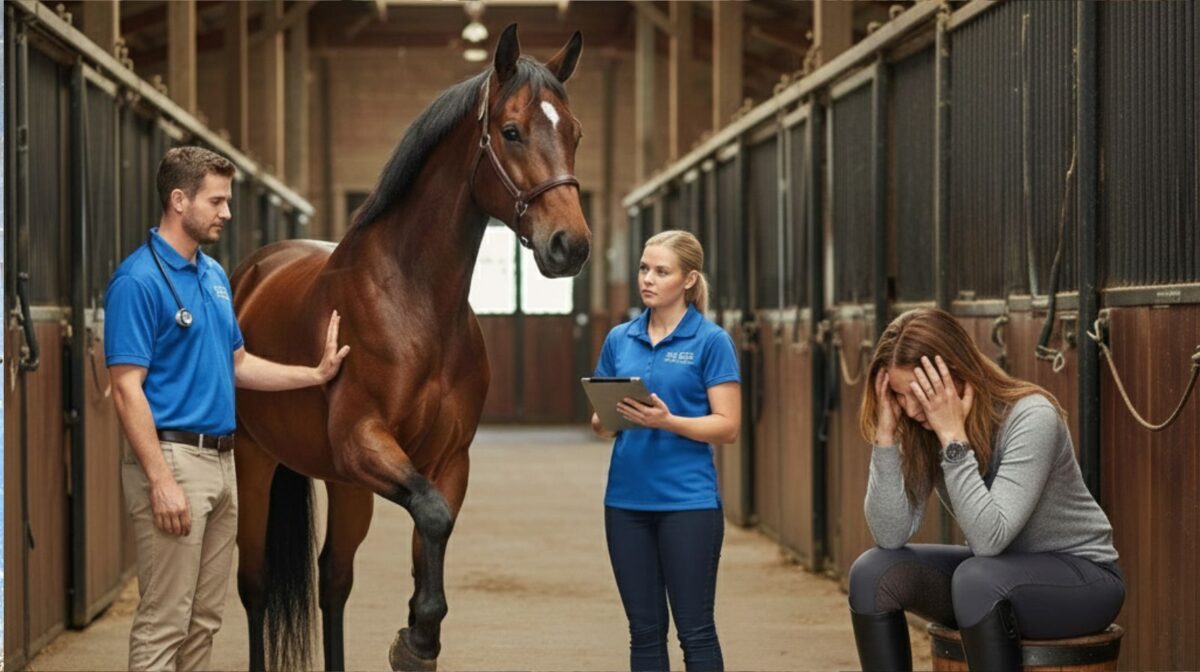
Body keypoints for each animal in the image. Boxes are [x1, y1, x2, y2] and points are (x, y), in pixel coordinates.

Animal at [229, 25, 589, 671]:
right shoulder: (363, 441)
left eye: (573, 133)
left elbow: (433, 531)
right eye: (512, 130)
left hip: (345, 485)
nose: (568, 245)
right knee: (256, 583)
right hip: (257, 460)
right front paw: (416, 638)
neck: (416, 303)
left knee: (333, 580)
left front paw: (421, 638)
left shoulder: (446, 459)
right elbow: (433, 517)